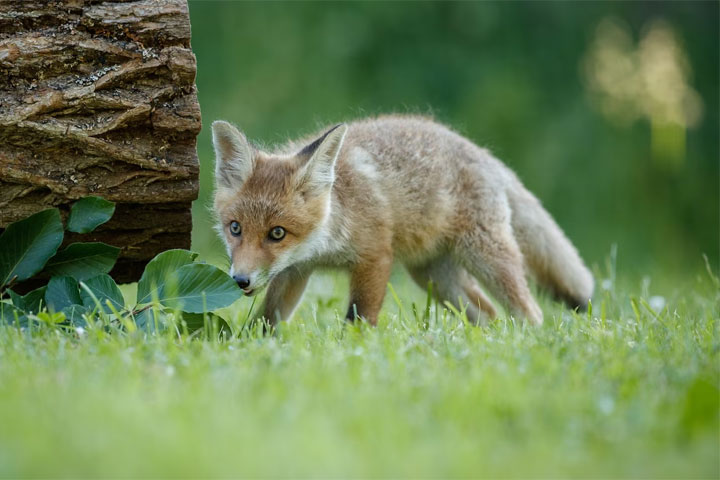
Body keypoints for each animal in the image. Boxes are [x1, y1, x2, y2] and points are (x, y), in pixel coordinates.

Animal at [211, 115, 592, 326]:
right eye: (235, 229)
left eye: (277, 233)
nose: (240, 280)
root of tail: (487, 156)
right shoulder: (295, 272)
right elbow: (267, 321)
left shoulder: (376, 256)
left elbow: (359, 319)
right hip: (435, 277)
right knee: (488, 314)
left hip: (487, 258)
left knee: (530, 313)